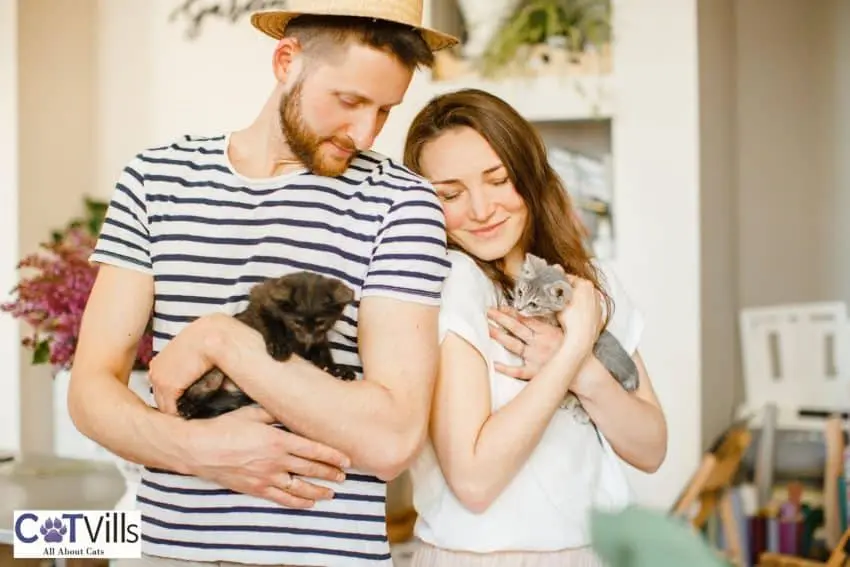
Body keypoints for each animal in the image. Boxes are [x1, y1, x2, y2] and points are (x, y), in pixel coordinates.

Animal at [176, 270, 354, 422]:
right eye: (297, 322)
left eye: (321, 323)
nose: (308, 339)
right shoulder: (260, 305)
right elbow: (271, 324)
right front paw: (279, 346)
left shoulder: (319, 340)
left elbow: (324, 355)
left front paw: (337, 370)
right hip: (213, 378)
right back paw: (186, 406)